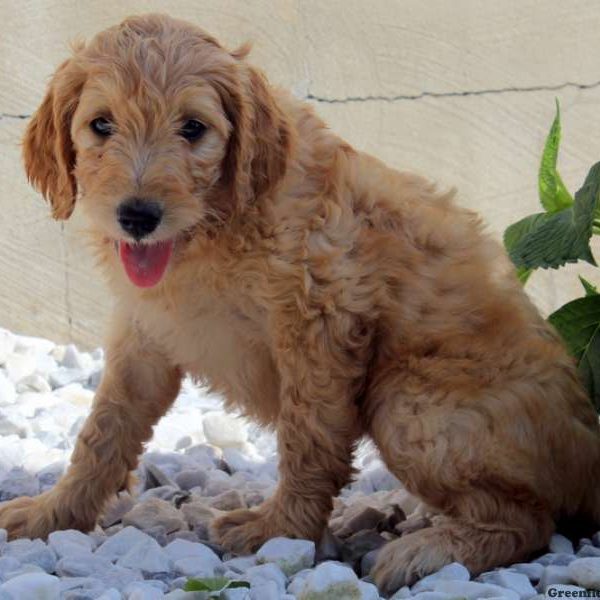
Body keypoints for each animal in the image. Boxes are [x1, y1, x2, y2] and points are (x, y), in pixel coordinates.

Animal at [5, 12, 600, 592]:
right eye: (101, 125)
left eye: (193, 128)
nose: (137, 216)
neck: (217, 227)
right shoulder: (146, 332)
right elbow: (103, 430)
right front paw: (53, 513)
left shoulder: (321, 318)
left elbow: (307, 437)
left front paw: (279, 530)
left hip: (407, 402)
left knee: (530, 520)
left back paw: (431, 551)